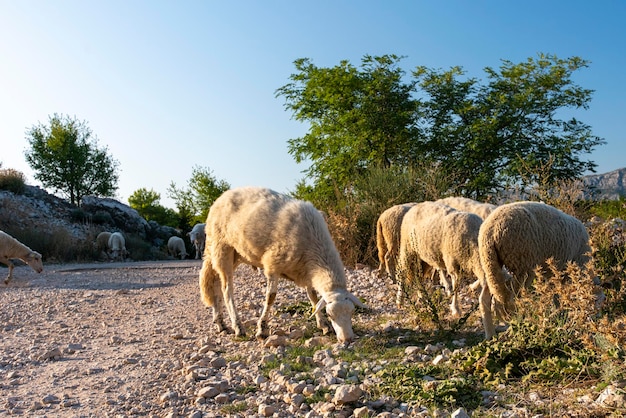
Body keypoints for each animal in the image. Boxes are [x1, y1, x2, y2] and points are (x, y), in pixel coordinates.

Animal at [199, 186, 366, 342]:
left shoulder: (306, 270)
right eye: (330, 314)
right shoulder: (273, 264)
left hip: (235, 254)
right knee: (227, 290)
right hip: (222, 247)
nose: (347, 339)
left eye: (352, 312)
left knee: (215, 285)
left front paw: (323, 324)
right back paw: (238, 327)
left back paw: (221, 323)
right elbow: (271, 297)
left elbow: (313, 296)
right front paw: (262, 329)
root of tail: (219, 199)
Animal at [478, 200, 588, 340]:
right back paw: (516, 326)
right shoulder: (562, 268)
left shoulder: (552, 272)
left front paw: (559, 313)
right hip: (522, 263)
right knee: (511, 300)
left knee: (486, 298)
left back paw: (490, 334)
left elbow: (555, 293)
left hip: (490, 264)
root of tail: (491, 230)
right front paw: (561, 314)